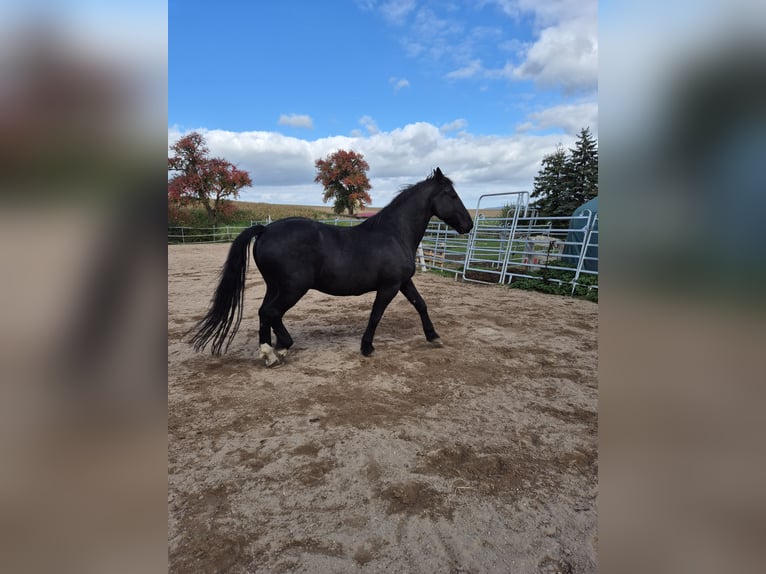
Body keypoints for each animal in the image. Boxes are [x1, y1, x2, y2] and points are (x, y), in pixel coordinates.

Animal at [190, 167, 473, 366]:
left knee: (264, 313)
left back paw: (269, 351)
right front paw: (367, 348)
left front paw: (433, 337)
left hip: (275, 287)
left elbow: (421, 304)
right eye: (451, 194)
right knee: (271, 312)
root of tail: (266, 229)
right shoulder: (389, 287)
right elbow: (376, 315)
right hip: (293, 288)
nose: (469, 225)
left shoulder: (403, 282)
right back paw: (279, 349)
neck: (394, 233)